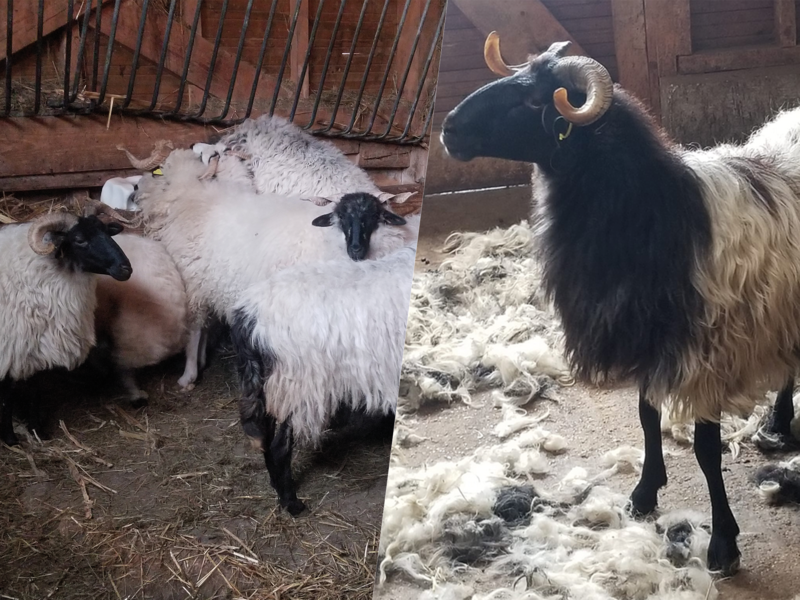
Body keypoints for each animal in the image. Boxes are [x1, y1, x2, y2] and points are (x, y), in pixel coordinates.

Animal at [0, 208, 131, 446]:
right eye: (79, 239)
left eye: (107, 232)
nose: (126, 268)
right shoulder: (11, 348)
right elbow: (7, 395)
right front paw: (9, 438)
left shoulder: (36, 347)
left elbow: (35, 389)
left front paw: (38, 430)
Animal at [229, 244, 417, 515]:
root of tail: (248, 318)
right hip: (298, 386)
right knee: (279, 448)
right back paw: (292, 504)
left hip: (271, 387)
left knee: (265, 437)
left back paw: (277, 487)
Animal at [440, 33, 800, 575]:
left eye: (534, 101)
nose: (448, 128)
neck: (653, 207)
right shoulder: (644, 334)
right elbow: (646, 417)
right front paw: (645, 493)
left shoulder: (708, 350)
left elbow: (706, 450)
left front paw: (723, 543)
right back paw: (778, 422)